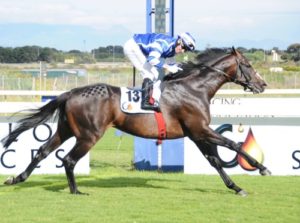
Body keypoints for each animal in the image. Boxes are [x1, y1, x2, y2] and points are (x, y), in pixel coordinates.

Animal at [1, 47, 270, 195]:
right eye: (247, 65)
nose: (263, 84)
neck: (195, 89)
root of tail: (70, 92)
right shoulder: (200, 129)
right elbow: (233, 145)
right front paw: (261, 167)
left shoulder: (196, 134)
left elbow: (214, 160)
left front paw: (236, 187)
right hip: (89, 135)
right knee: (68, 160)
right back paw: (76, 190)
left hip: (65, 130)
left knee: (43, 151)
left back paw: (17, 178)